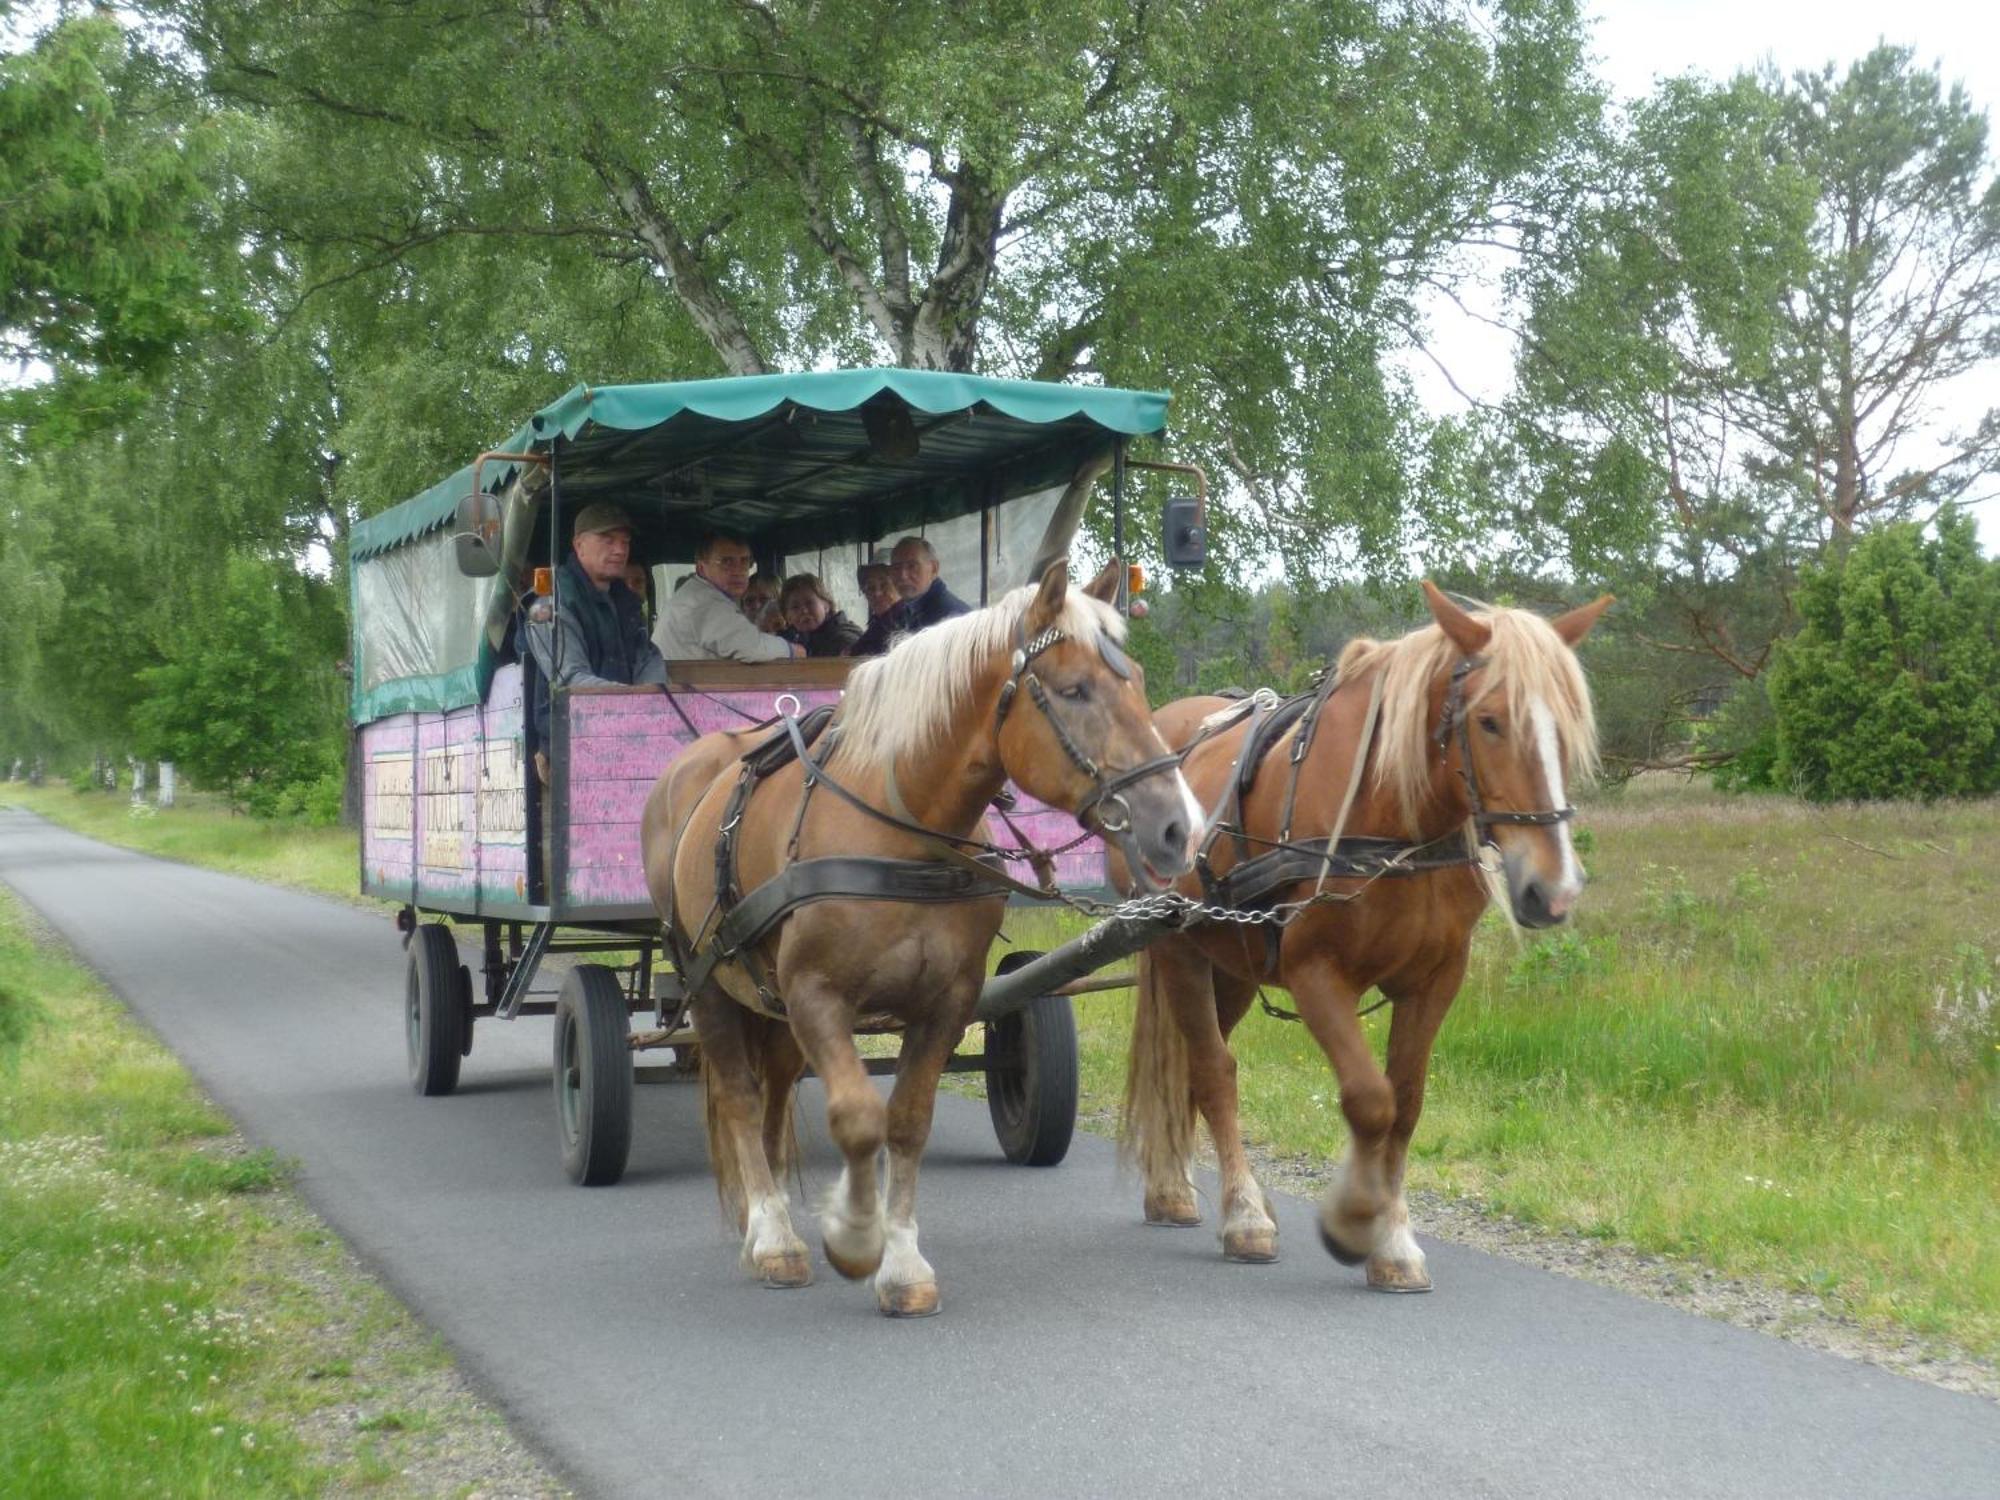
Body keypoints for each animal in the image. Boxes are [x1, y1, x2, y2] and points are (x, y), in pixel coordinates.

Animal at [648, 560, 1192, 1312]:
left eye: (1135, 679)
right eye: (1074, 690)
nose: (1176, 826)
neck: (902, 832)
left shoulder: (945, 1002)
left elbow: (906, 1121)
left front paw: (901, 1262)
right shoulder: (817, 996)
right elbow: (857, 1116)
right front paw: (853, 1237)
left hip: (769, 1001)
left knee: (775, 1095)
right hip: (709, 985)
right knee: (740, 1096)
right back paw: (773, 1237)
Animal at [1120, 584, 1616, 1296]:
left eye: (1569, 725)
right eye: (1490, 721)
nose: (1555, 890)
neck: (1393, 822)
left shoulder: (1436, 980)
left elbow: (1405, 1106)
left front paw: (1393, 1239)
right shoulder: (1315, 973)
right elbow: (1369, 1100)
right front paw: (1355, 1220)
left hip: (1231, 967)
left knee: (1195, 1066)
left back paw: (1181, 1189)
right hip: (1178, 950)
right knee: (1213, 1071)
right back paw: (1242, 1214)